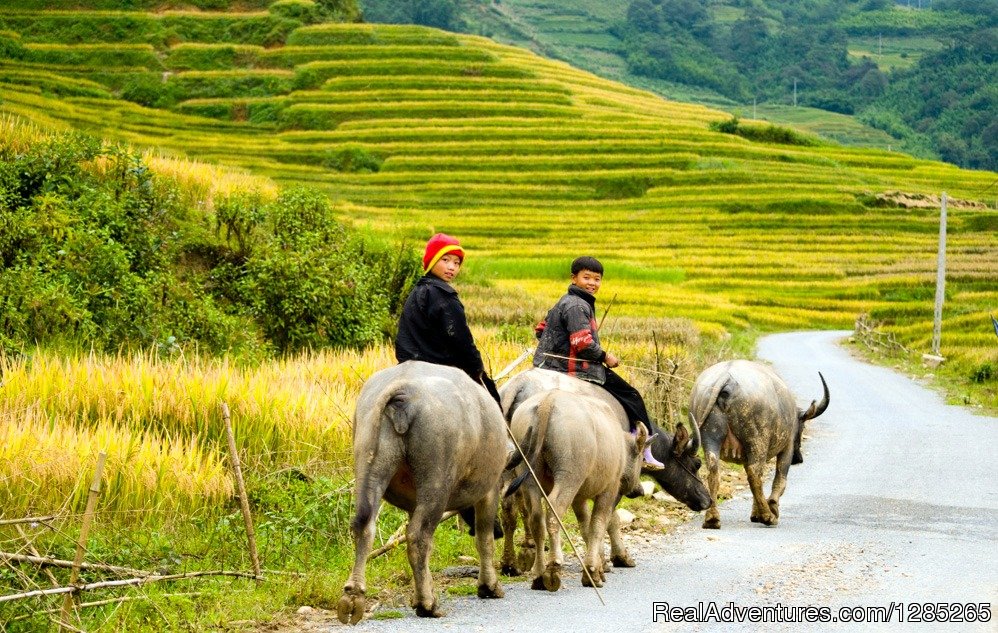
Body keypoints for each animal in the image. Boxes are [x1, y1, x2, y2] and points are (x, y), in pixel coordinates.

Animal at [338, 360, 508, 624]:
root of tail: (403, 388)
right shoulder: (490, 489)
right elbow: (484, 538)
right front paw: (489, 586)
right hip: (437, 481)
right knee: (419, 536)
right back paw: (428, 605)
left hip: (369, 464)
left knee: (366, 526)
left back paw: (353, 596)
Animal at [508, 388, 648, 592]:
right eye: (640, 459)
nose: (639, 490)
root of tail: (548, 400)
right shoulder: (609, 490)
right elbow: (598, 526)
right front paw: (592, 572)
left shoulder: (579, 498)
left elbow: (585, 527)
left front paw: (598, 566)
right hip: (569, 477)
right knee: (554, 512)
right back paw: (553, 567)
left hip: (529, 478)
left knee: (536, 518)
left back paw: (539, 574)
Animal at [692, 360, 832, 528]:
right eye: (802, 427)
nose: (798, 459)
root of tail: (727, 379)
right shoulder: (787, 448)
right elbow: (779, 480)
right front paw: (771, 508)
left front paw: (755, 513)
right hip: (757, 441)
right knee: (754, 474)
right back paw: (768, 516)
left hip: (711, 438)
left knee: (714, 471)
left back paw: (712, 519)